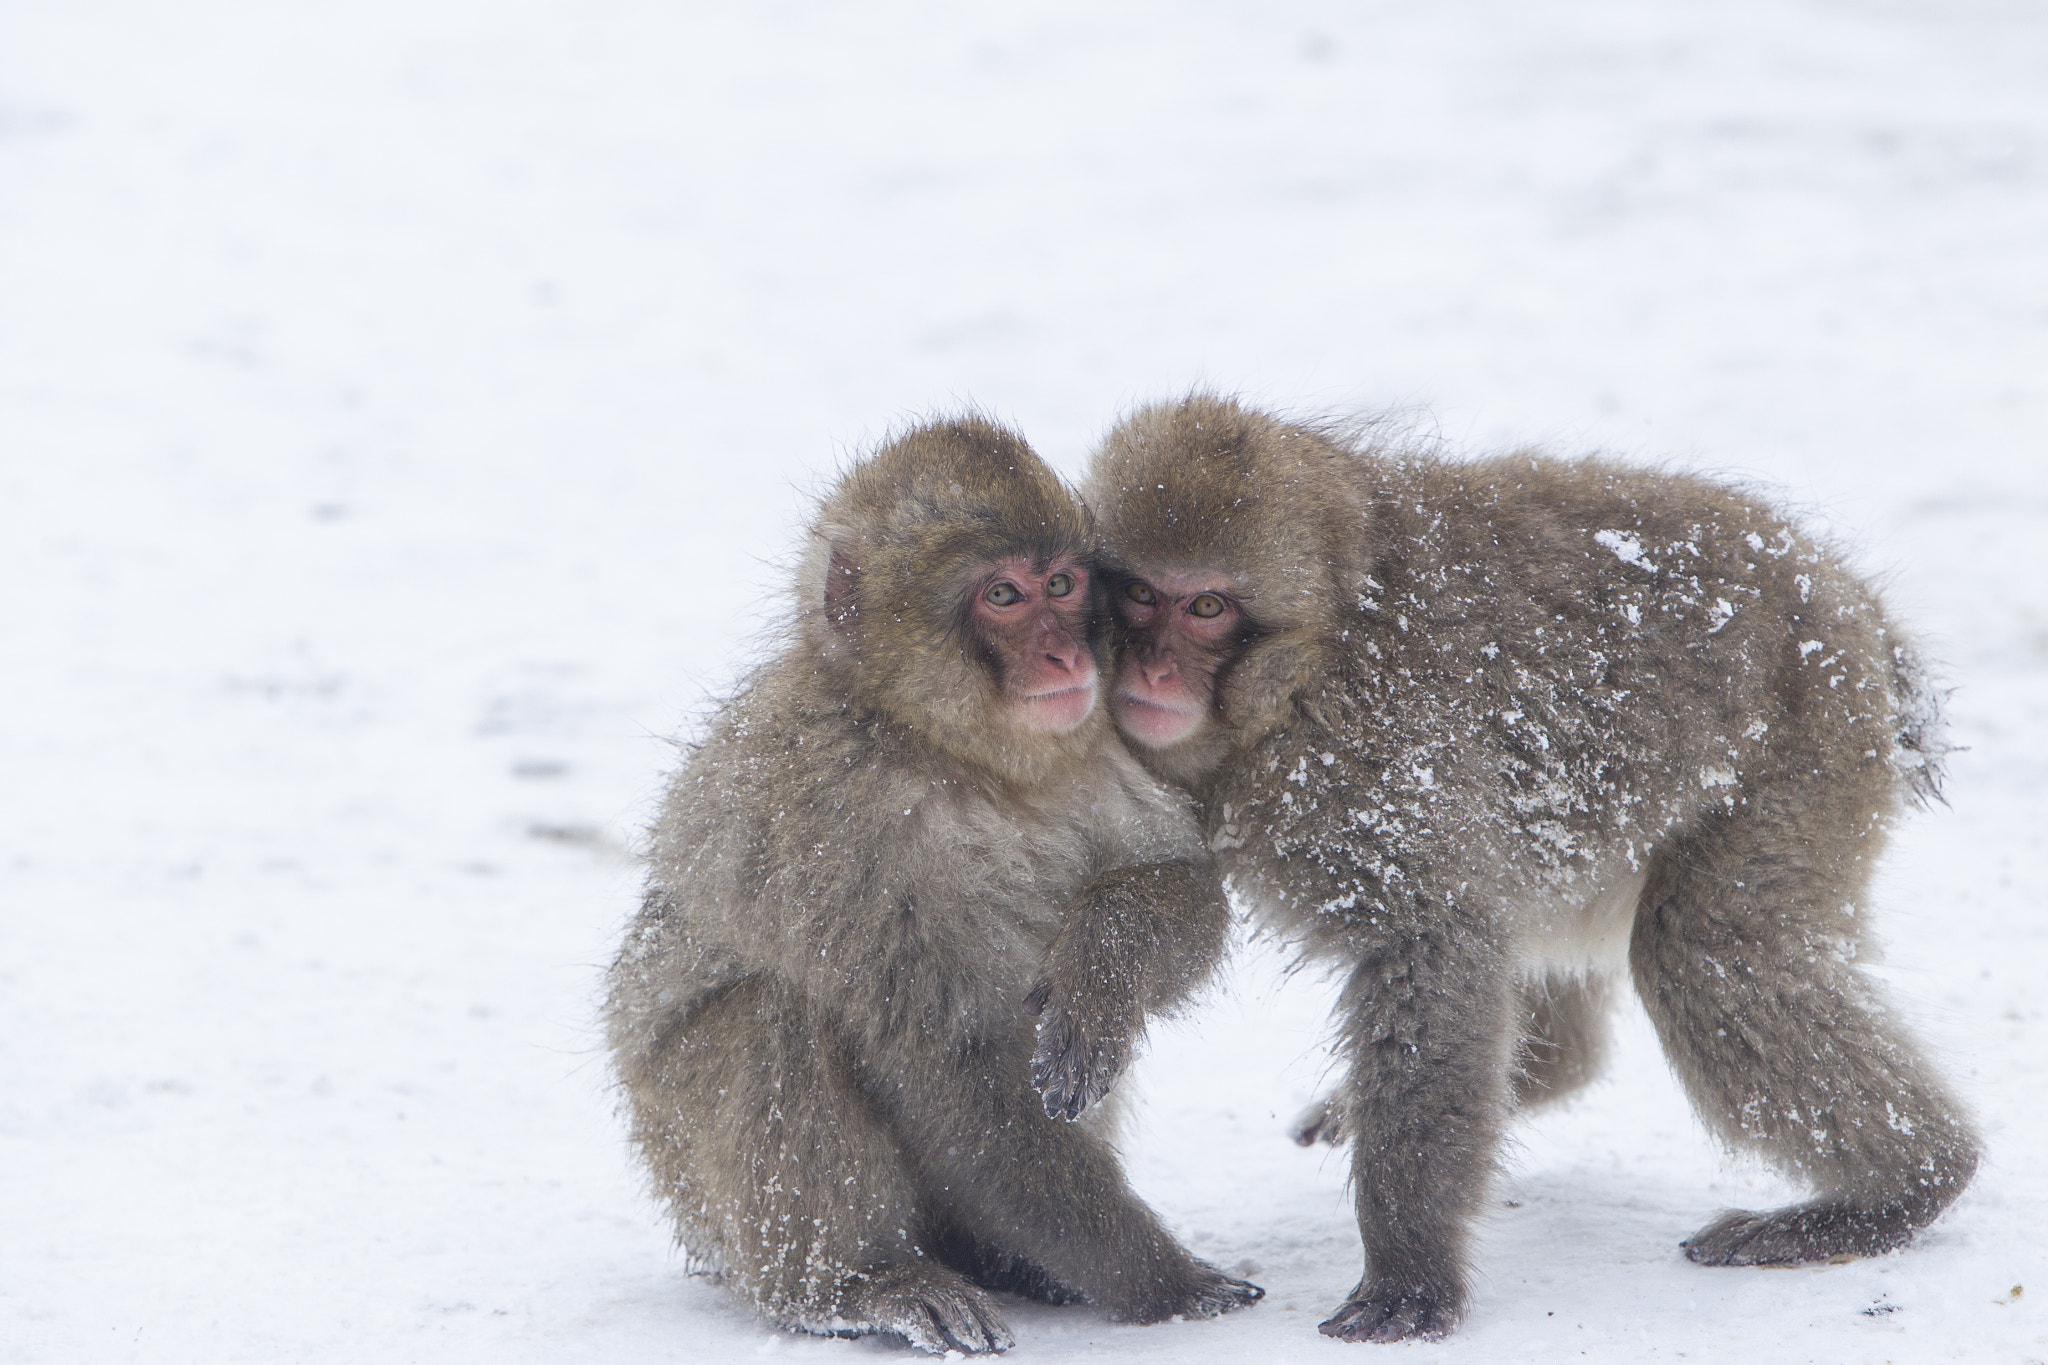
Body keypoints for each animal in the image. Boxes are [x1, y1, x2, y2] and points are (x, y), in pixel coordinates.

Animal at [603, 416, 1262, 1355]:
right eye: (1004, 596)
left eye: (1062, 583)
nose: (1065, 651)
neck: (955, 755)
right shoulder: (841, 827)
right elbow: (949, 1068)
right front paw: (1163, 1282)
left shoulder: (1098, 746)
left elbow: (1185, 885)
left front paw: (1100, 974)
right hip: (695, 1184)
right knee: (768, 1016)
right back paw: (859, 1282)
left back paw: (1011, 1262)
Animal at [1031, 393, 1977, 1343]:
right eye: (1139, 594)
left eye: (1205, 607)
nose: (1151, 669)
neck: (1304, 671)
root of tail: (1857, 612)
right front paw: (1101, 983)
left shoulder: (1362, 758)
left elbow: (1432, 943)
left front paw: (1410, 1268)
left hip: (1809, 746)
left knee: (1701, 953)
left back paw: (1905, 1186)